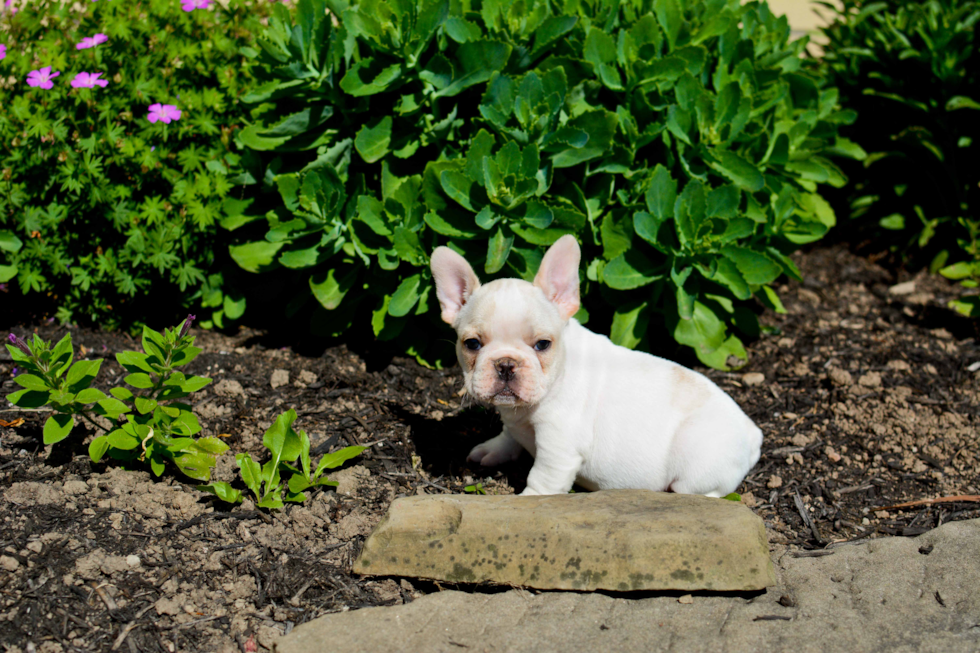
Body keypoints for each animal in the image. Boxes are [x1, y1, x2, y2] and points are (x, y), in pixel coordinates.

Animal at [432, 237, 760, 496]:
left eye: (543, 345)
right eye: (472, 344)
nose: (506, 364)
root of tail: (753, 434)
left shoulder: (558, 449)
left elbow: (542, 481)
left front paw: (528, 501)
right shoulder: (515, 421)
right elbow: (509, 436)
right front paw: (493, 449)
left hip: (696, 470)